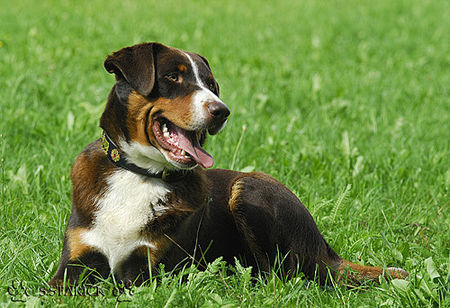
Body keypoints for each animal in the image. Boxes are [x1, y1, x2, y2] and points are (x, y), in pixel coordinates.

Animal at [49, 42, 408, 288]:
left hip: (249, 189)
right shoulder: (74, 263)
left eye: (211, 85)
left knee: (286, 276)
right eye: (172, 77)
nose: (221, 111)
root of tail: (324, 249)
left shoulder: (147, 270)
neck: (138, 173)